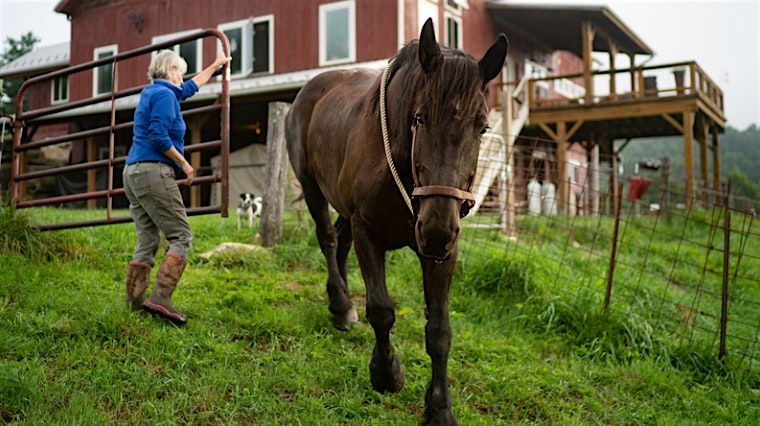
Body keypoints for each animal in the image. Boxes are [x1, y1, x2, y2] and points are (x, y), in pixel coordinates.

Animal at [288, 19, 508, 422]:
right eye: (420, 118)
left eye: (482, 127)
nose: (436, 231)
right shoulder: (368, 233)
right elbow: (381, 310)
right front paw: (386, 373)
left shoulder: (442, 254)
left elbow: (439, 331)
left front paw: (440, 408)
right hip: (312, 188)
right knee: (328, 239)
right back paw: (341, 305)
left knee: (339, 243)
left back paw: (343, 305)